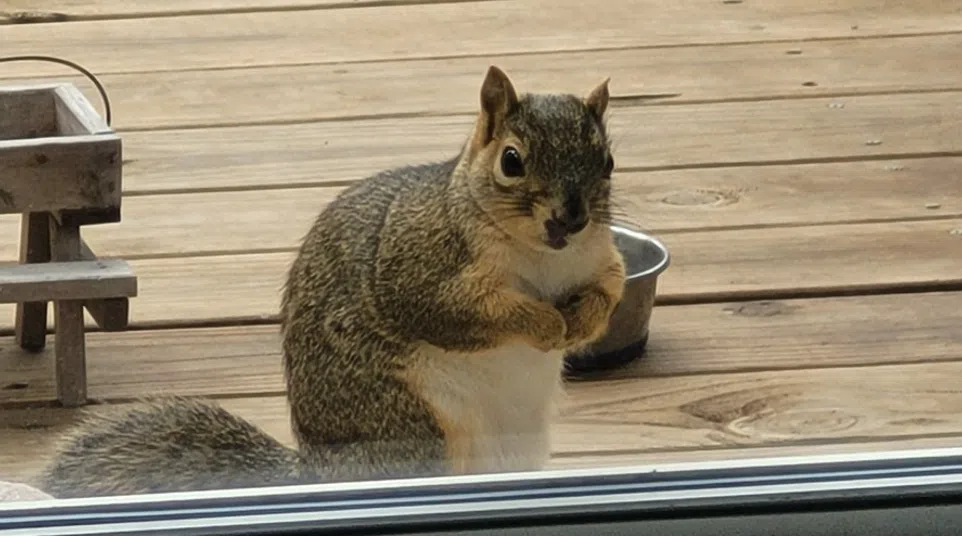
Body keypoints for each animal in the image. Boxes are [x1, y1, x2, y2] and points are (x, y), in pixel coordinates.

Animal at [35, 66, 627, 499]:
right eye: (511, 161)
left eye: (608, 161)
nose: (571, 218)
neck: (543, 256)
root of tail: (320, 474)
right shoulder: (419, 267)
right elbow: (461, 312)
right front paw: (546, 323)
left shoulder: (600, 257)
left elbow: (610, 288)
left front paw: (582, 322)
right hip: (412, 429)